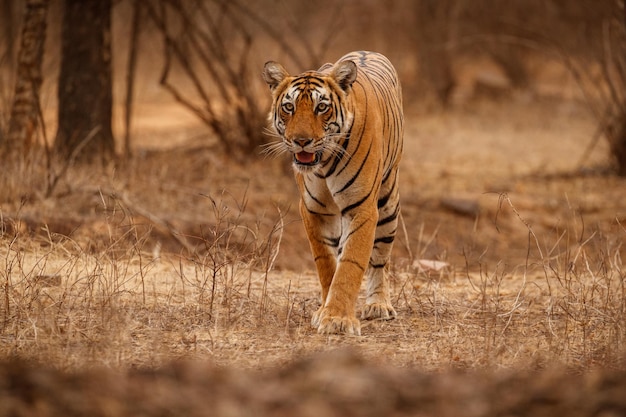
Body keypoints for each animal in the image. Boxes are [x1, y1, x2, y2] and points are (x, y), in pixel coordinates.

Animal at [260, 50, 402, 334]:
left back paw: (378, 305)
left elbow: (350, 264)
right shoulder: (314, 210)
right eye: (289, 107)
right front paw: (325, 311)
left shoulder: (362, 208)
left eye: (321, 107)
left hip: (388, 203)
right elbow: (326, 263)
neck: (324, 162)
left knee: (380, 259)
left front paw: (338, 319)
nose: (301, 141)